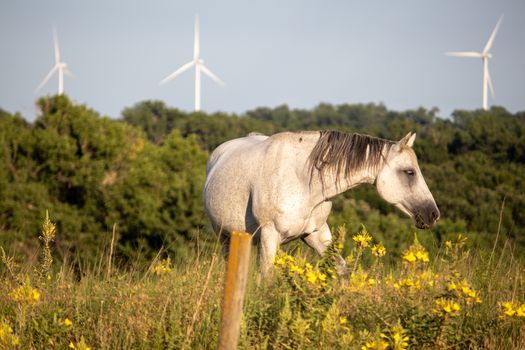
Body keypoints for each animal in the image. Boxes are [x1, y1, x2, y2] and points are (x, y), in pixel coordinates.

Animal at [203, 130, 440, 278]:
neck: (301, 179)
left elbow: (342, 270)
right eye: (409, 172)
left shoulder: (316, 233)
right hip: (225, 237)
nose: (433, 214)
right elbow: (266, 278)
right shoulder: (270, 236)